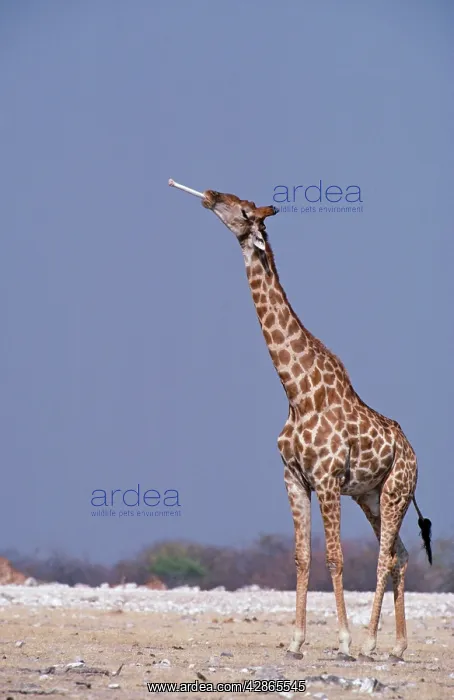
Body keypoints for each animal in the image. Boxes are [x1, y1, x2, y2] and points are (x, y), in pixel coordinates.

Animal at [172, 183, 432, 660]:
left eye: (242, 210)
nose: (209, 193)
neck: (297, 393)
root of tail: (413, 455)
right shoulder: (293, 478)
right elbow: (302, 556)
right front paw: (295, 640)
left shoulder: (326, 478)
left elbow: (334, 556)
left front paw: (343, 640)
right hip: (369, 495)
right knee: (401, 554)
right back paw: (397, 646)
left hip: (396, 491)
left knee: (385, 555)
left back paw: (370, 641)